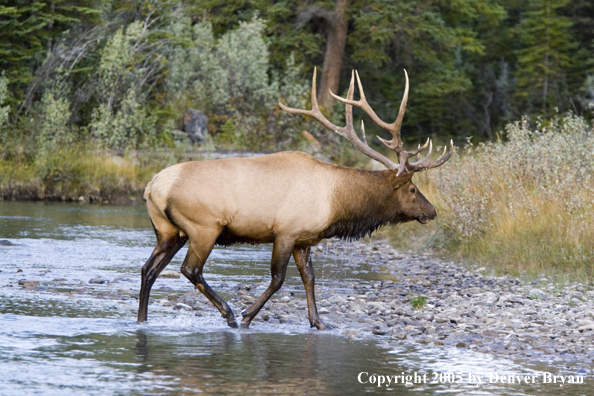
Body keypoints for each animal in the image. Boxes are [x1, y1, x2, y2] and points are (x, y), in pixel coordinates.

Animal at [139, 69, 450, 330]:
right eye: (412, 188)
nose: (432, 211)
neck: (337, 203)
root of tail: (153, 187)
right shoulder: (286, 232)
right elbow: (278, 279)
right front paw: (248, 315)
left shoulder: (304, 239)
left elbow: (309, 277)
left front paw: (319, 322)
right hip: (203, 227)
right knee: (190, 269)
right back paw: (228, 313)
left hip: (168, 231)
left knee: (148, 270)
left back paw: (142, 319)